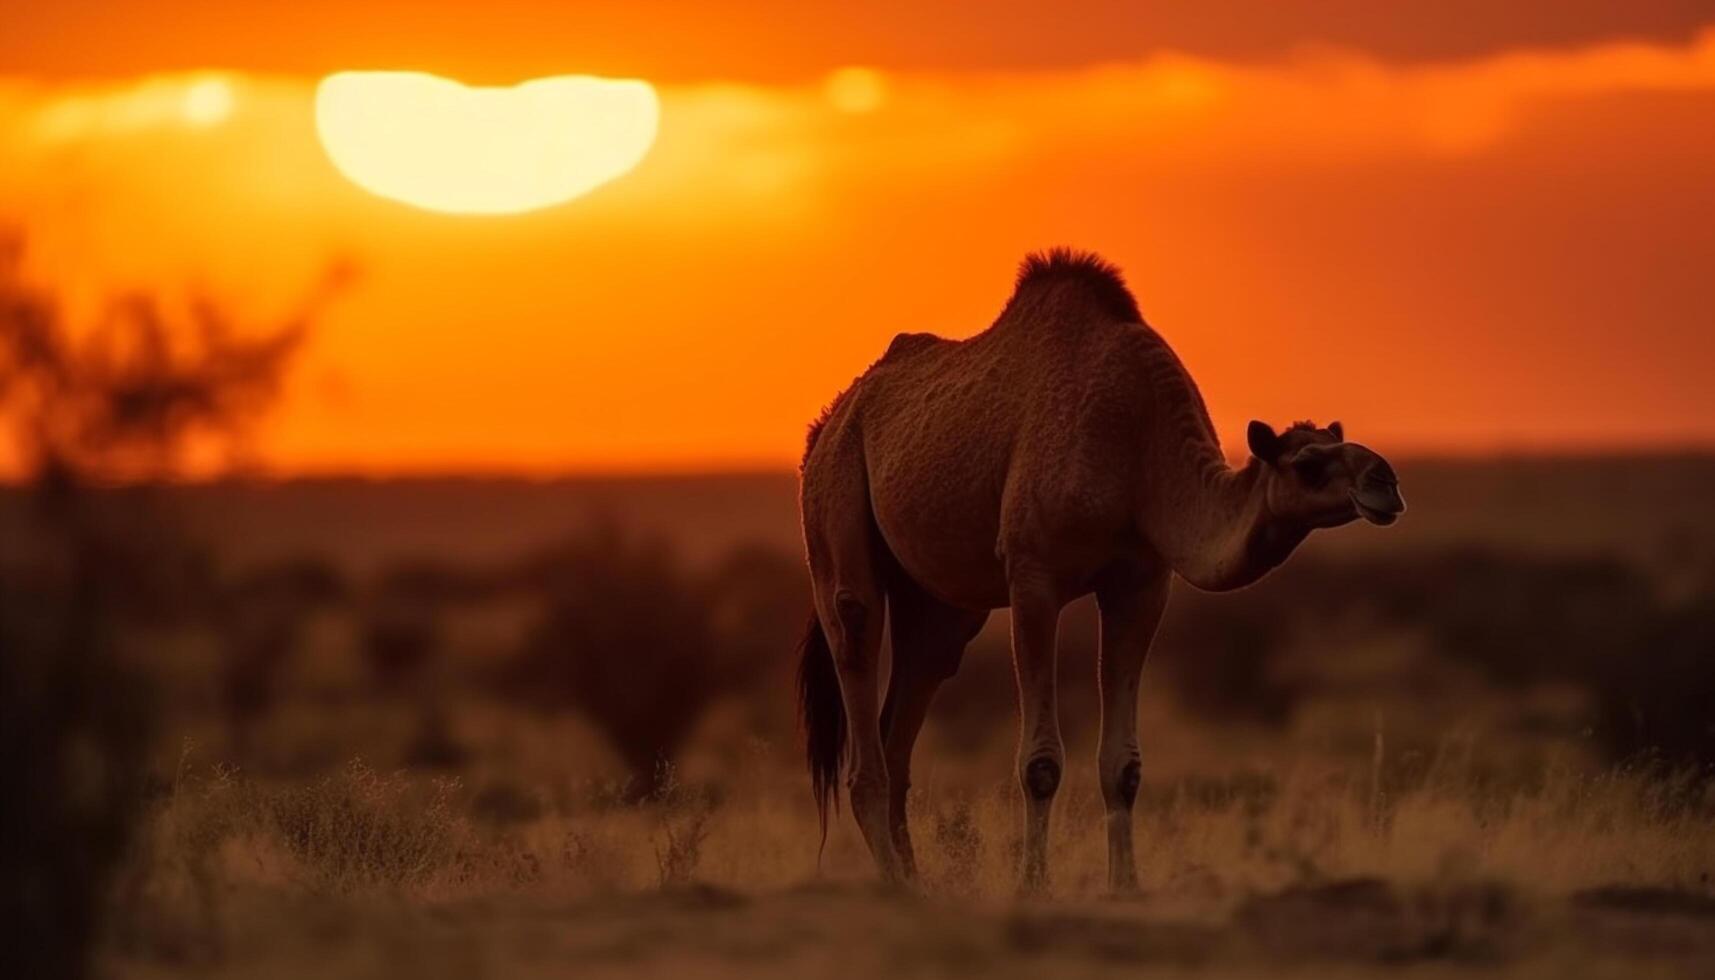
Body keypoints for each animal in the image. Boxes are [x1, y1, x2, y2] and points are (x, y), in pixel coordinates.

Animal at [795, 248, 1399, 892]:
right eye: (1310, 463)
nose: (1386, 482)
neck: (1142, 451)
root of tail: (826, 423)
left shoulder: (1141, 583)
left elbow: (1124, 766)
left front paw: (1126, 885)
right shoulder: (1034, 575)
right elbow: (1039, 762)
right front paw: (1034, 885)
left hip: (941, 606)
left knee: (908, 709)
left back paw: (917, 882)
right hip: (837, 517)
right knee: (857, 656)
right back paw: (896, 882)